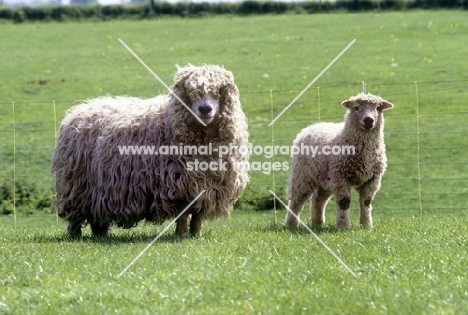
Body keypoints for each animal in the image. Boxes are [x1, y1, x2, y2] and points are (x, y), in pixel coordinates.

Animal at [52, 63, 250, 237]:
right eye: (190, 93)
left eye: (219, 92)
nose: (205, 109)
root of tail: (79, 110)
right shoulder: (180, 186)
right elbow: (183, 214)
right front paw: (182, 234)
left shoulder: (205, 185)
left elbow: (198, 215)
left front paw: (196, 234)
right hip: (77, 185)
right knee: (75, 216)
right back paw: (75, 235)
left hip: (99, 188)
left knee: (97, 214)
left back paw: (101, 235)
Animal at [288, 93, 394, 230]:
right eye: (356, 107)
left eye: (378, 108)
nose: (368, 120)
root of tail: (311, 127)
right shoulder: (340, 177)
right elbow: (344, 202)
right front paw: (343, 226)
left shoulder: (372, 179)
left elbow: (366, 202)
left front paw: (366, 225)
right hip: (302, 174)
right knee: (297, 199)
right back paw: (291, 224)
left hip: (325, 178)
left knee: (318, 199)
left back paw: (318, 223)